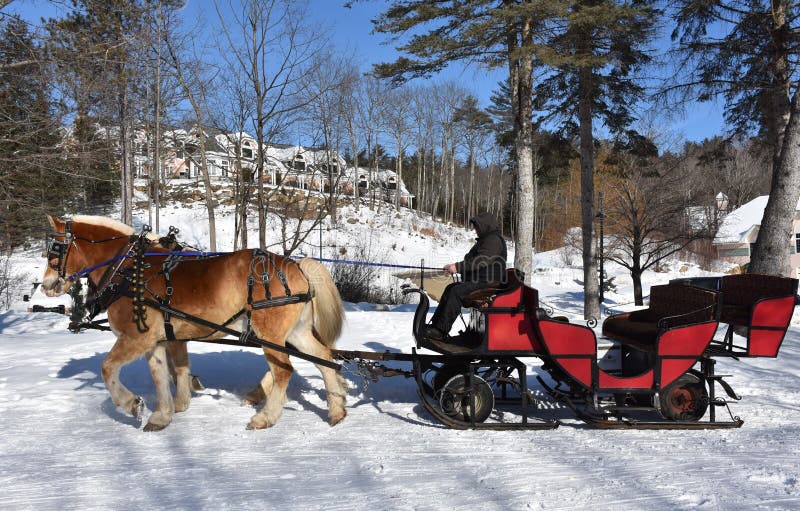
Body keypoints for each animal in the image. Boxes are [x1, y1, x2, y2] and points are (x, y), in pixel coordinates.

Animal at [40, 215, 347, 431]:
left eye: (55, 251)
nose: (46, 285)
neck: (128, 270)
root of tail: (296, 266)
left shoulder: (136, 337)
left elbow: (108, 369)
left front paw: (131, 404)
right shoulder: (161, 339)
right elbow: (163, 374)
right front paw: (164, 414)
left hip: (269, 334)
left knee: (284, 370)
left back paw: (265, 417)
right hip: (296, 332)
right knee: (323, 358)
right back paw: (336, 410)